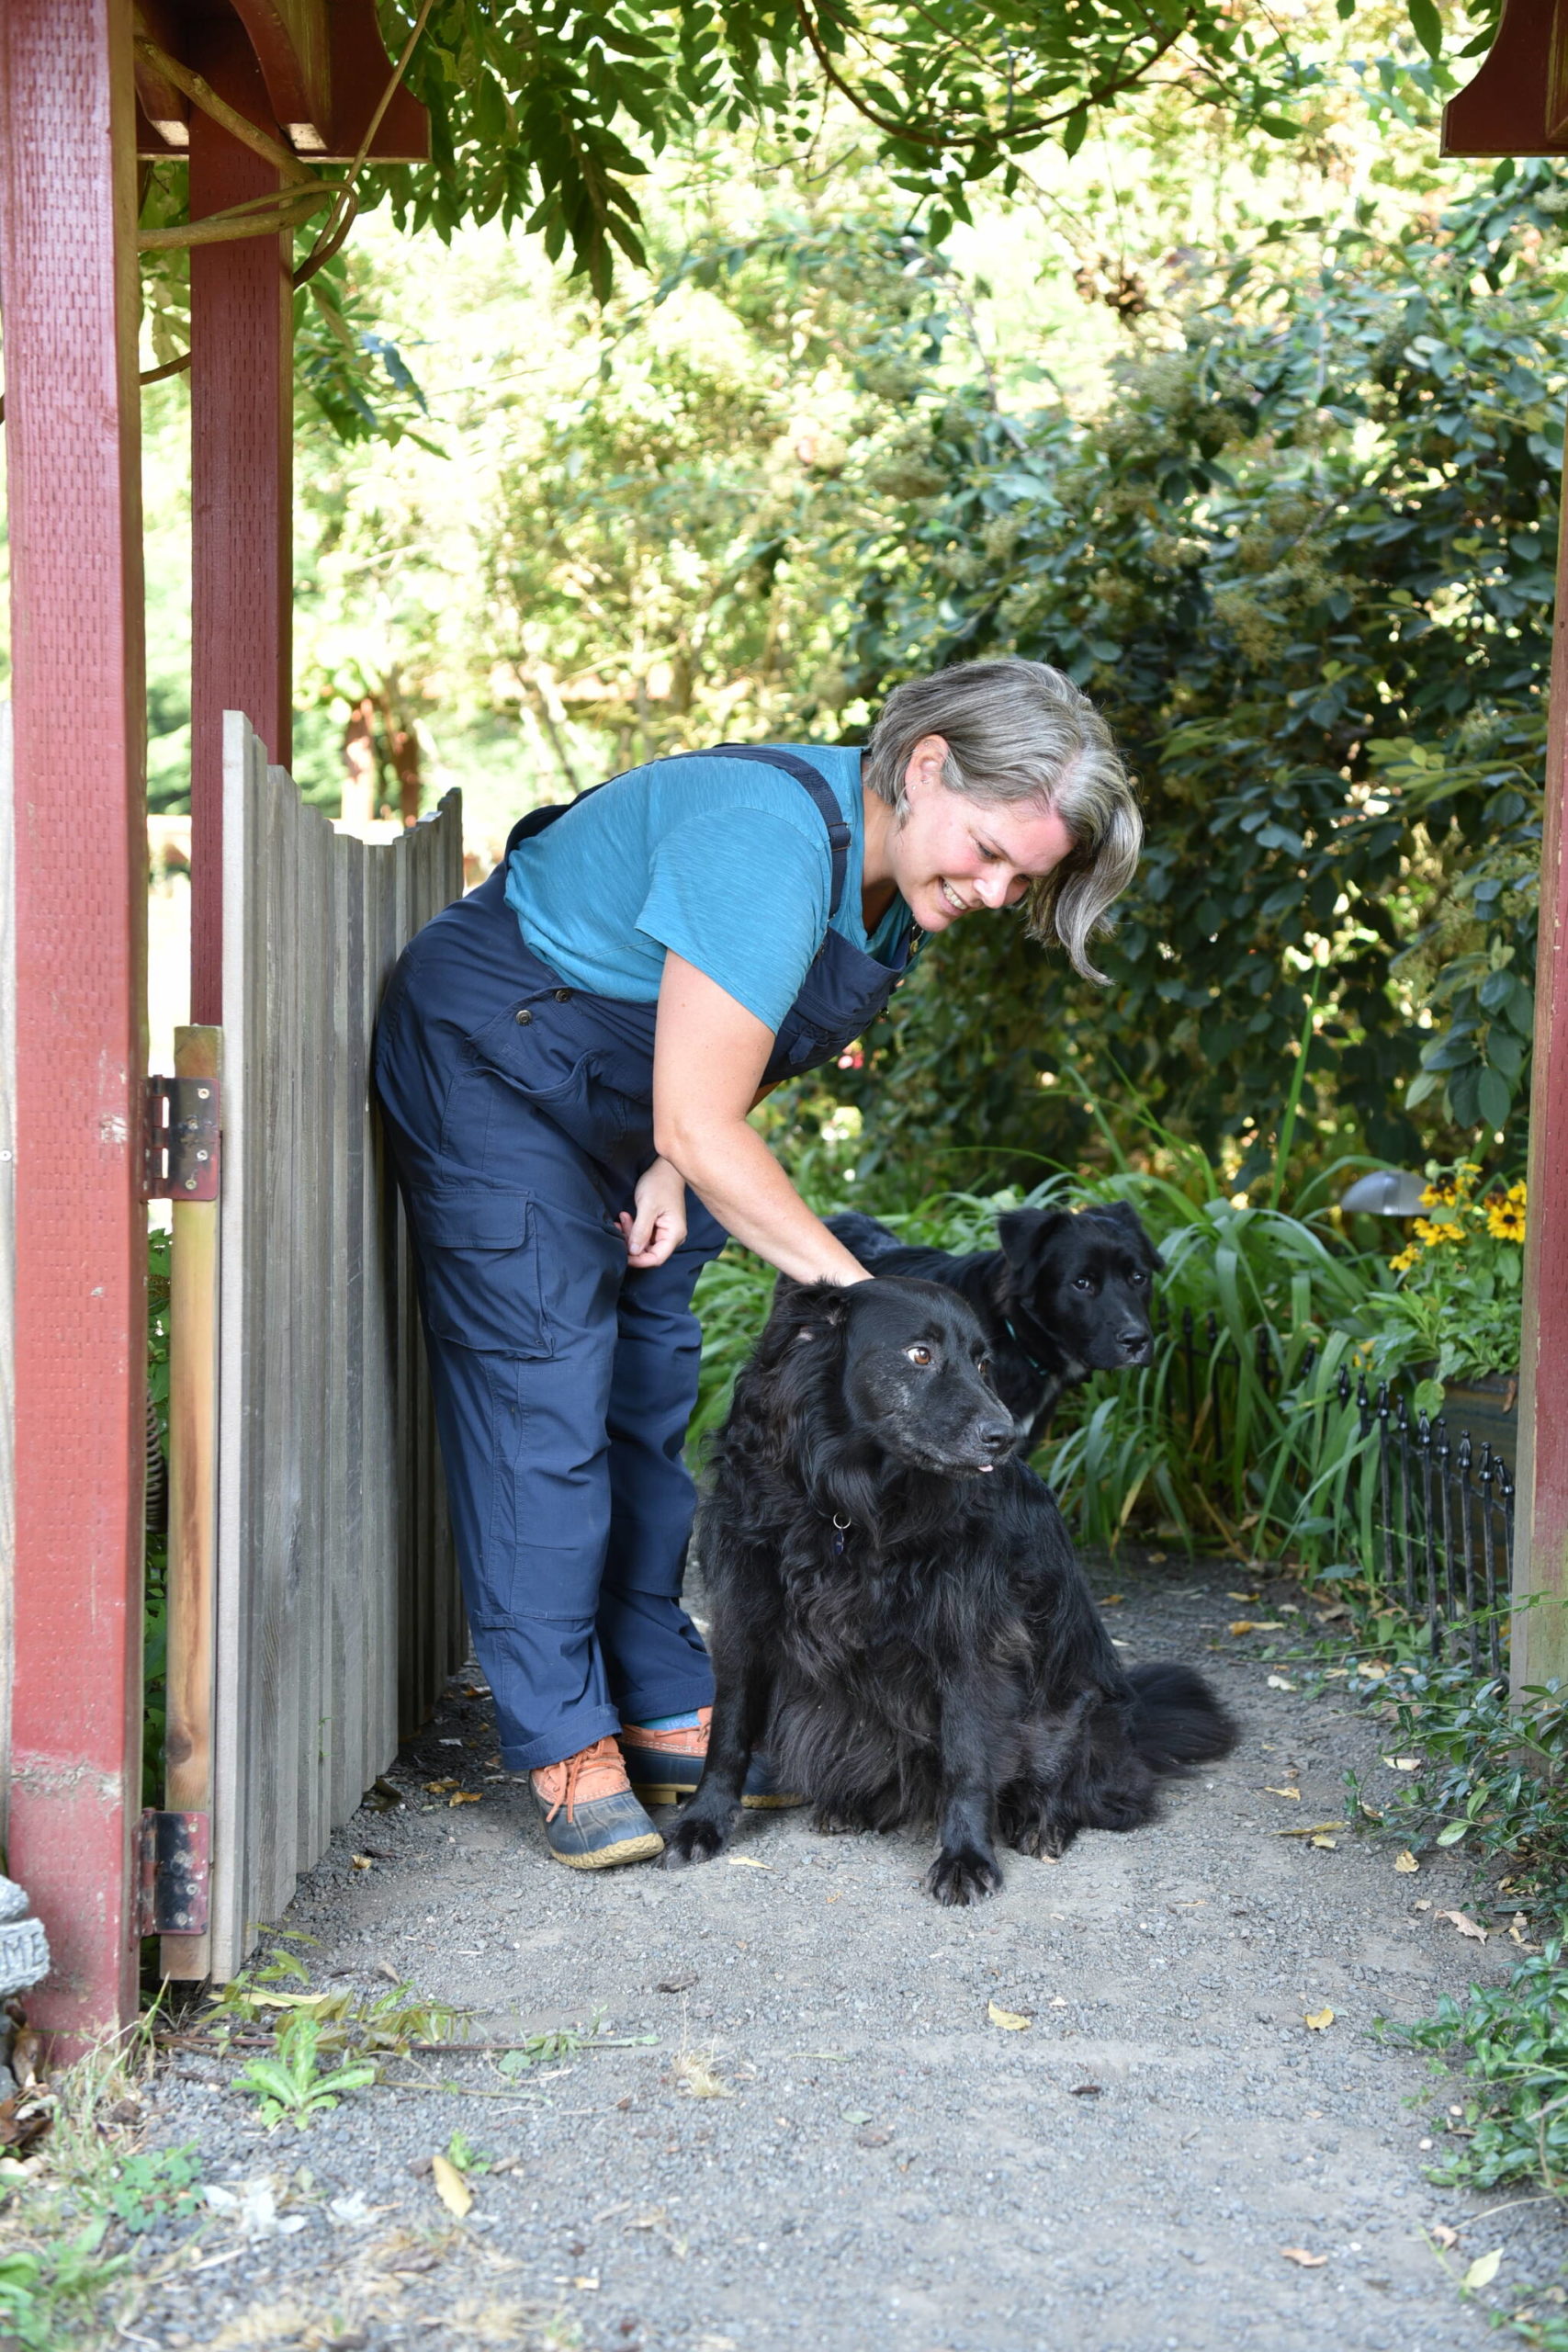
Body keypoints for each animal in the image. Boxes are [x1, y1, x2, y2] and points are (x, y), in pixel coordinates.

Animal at [667, 1279, 1241, 1900]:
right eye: (920, 1355)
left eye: (983, 1363)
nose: (1005, 1438)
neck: (852, 1506)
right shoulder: (744, 1614)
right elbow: (728, 1733)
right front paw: (703, 1822)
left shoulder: (967, 1638)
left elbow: (968, 1758)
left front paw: (965, 1856)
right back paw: (852, 1805)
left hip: (1069, 1713)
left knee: (1092, 1788)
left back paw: (1043, 1822)